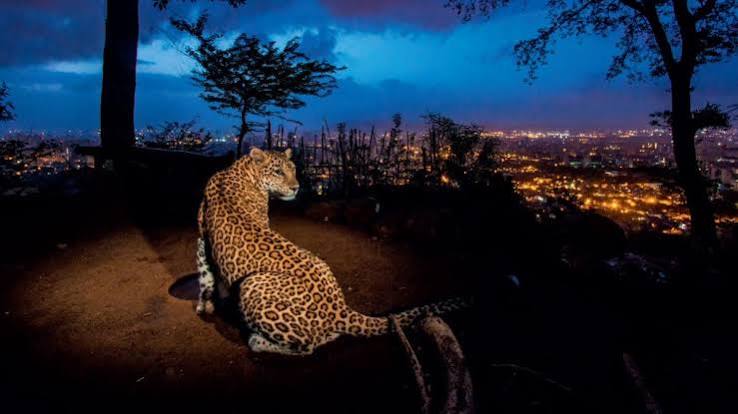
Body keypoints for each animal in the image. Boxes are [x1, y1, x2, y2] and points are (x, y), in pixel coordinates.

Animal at [196, 147, 466, 355]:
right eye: (278, 171)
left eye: (293, 169)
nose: (296, 188)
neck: (239, 171)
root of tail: (340, 308)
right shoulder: (202, 238)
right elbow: (206, 274)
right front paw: (209, 304)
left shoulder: (204, 240)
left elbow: (206, 274)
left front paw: (210, 304)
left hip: (251, 284)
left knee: (307, 346)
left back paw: (257, 341)